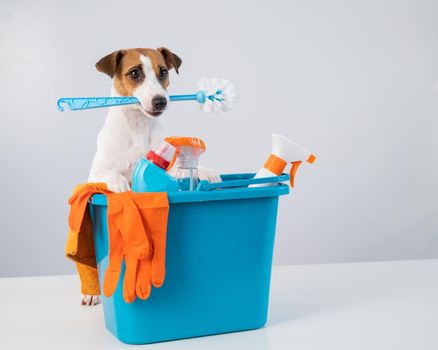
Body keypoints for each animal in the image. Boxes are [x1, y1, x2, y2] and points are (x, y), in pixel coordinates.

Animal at [83, 46, 219, 304]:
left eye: (163, 72)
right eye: (134, 73)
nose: (160, 101)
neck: (137, 126)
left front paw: (208, 172)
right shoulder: (96, 172)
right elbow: (111, 173)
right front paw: (120, 184)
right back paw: (92, 294)